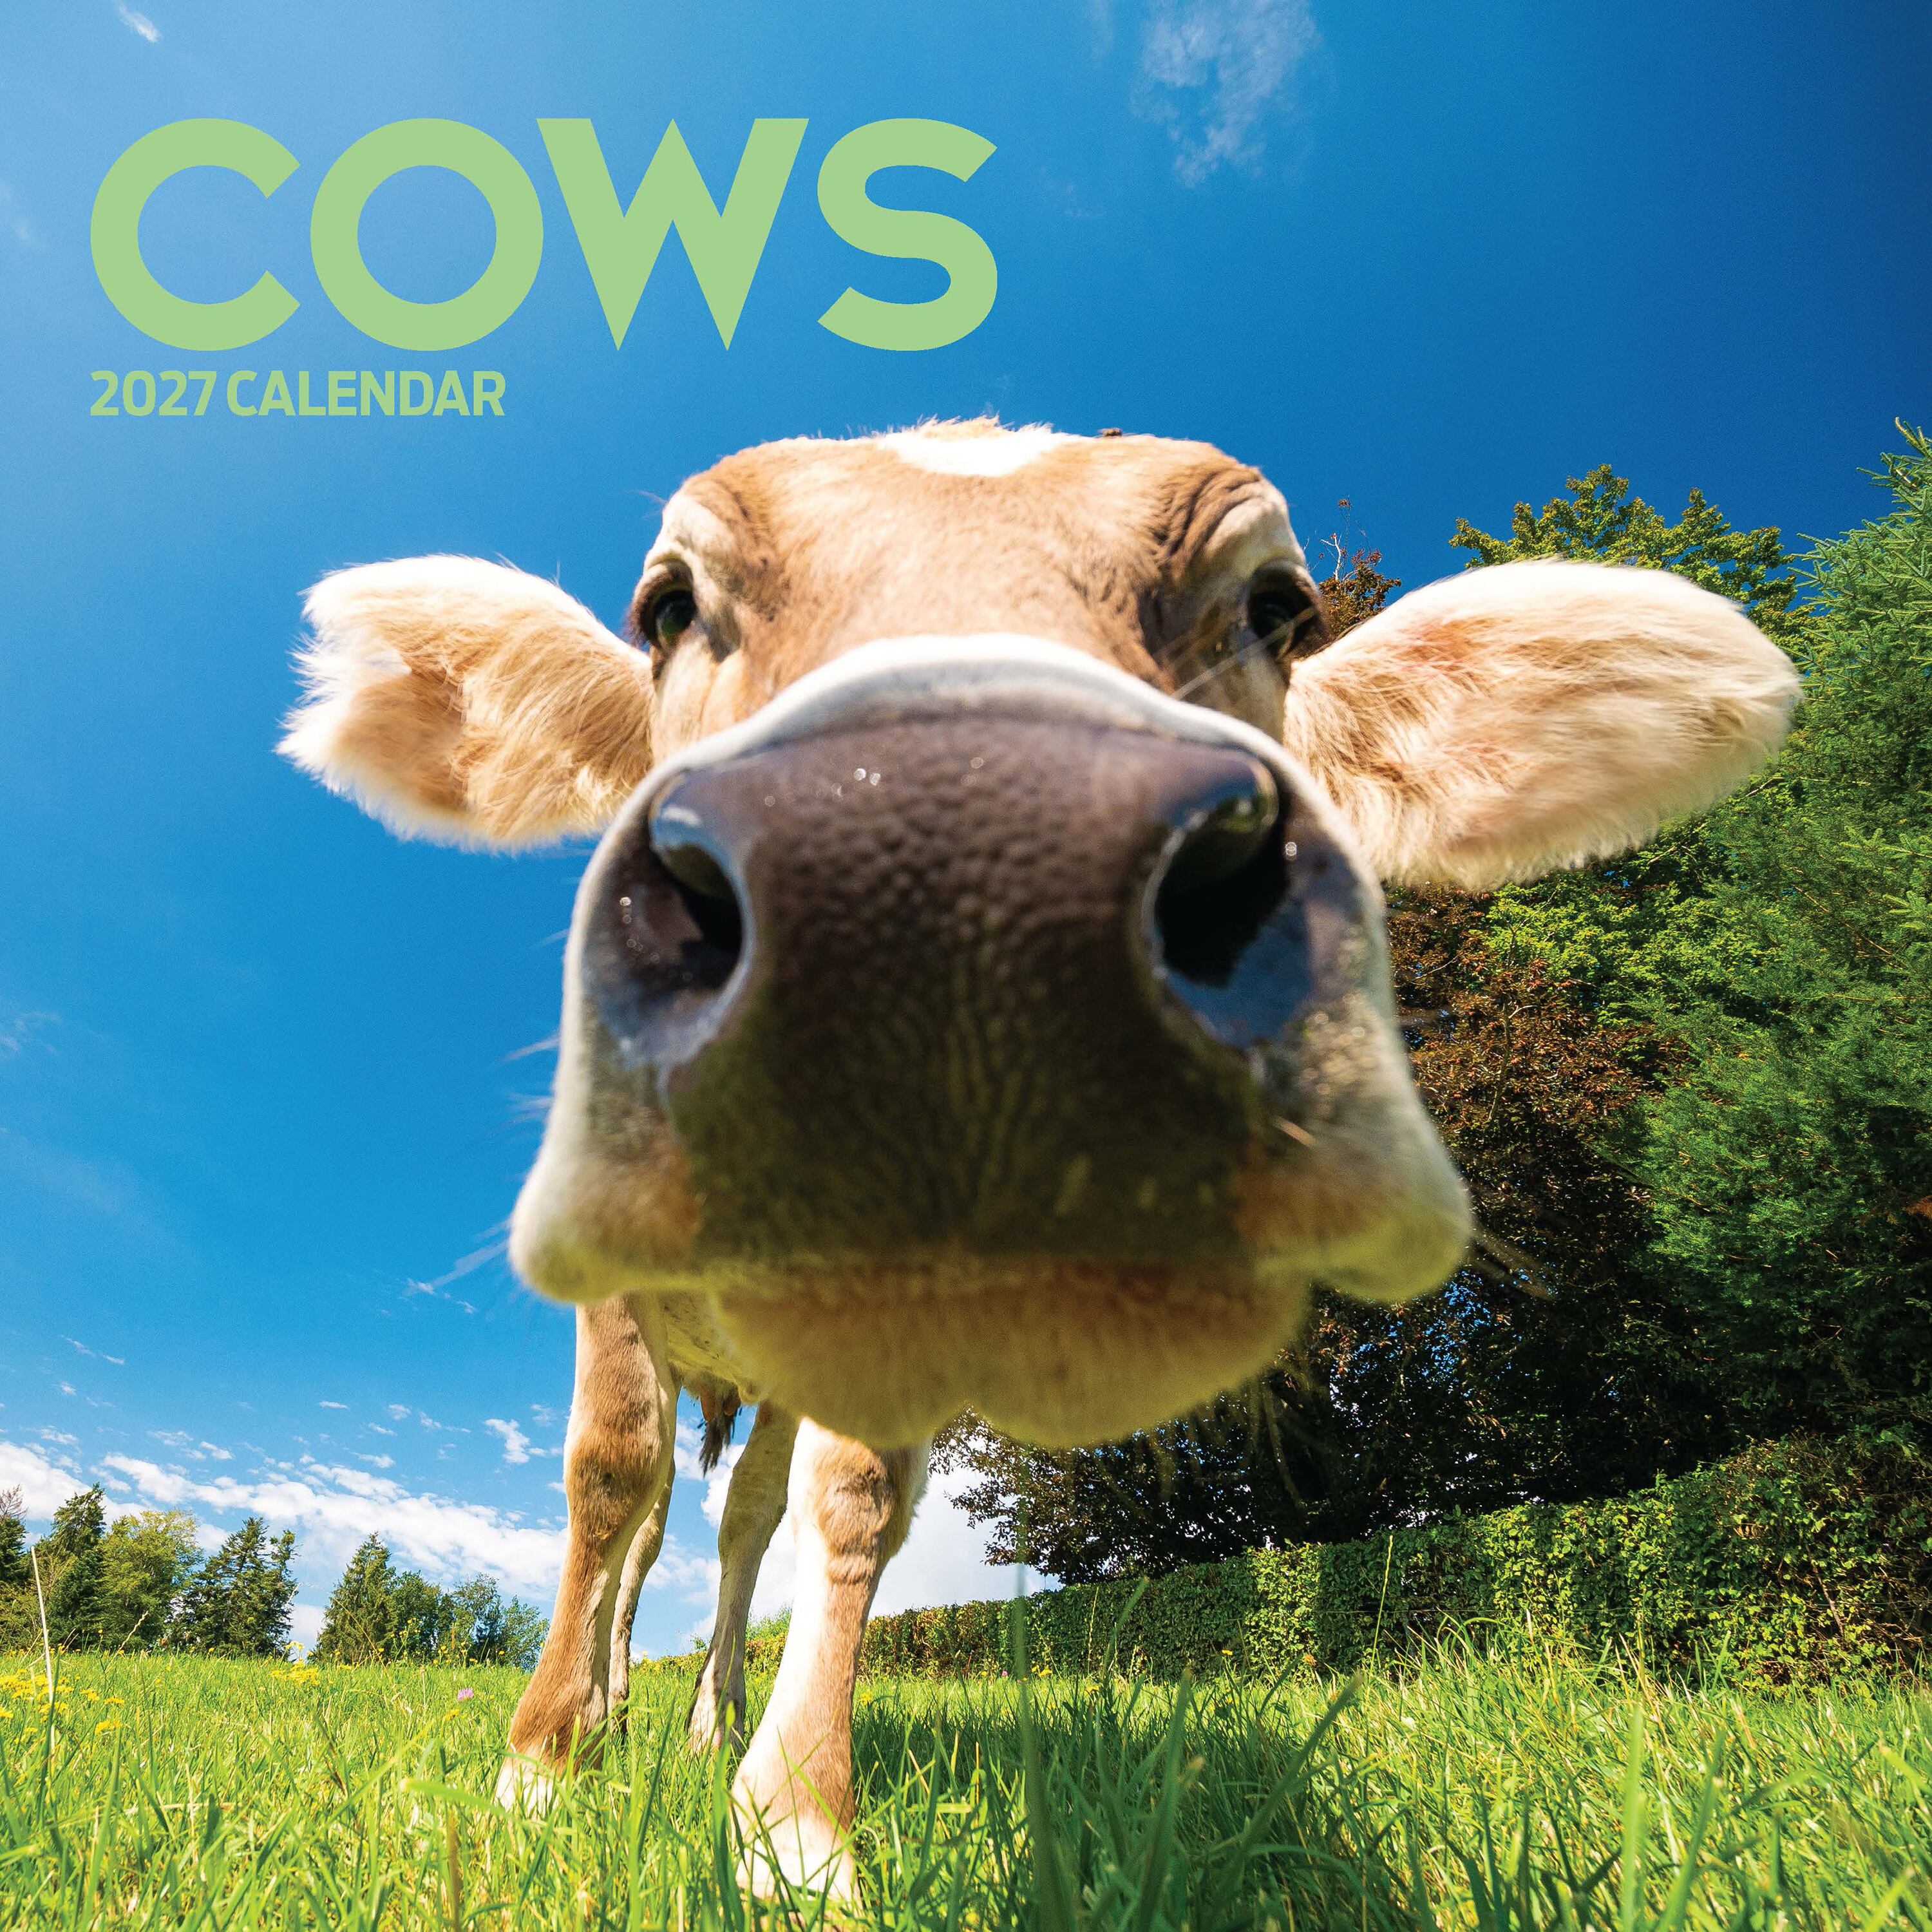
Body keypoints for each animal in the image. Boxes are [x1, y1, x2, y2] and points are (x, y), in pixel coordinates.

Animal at [280, 420, 1796, 1895]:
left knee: (746, 1518)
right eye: (667, 608)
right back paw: (602, 1704)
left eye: (1279, 607)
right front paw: (540, 1770)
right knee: (649, 1522)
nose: (958, 875)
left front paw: (796, 1820)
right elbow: (608, 1475)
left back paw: (714, 1716)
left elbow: (849, 1506)